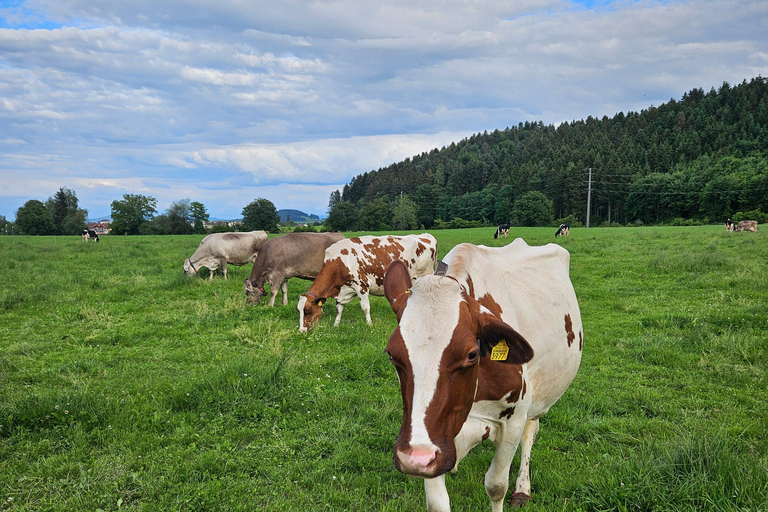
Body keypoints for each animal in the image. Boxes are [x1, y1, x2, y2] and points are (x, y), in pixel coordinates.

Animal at [296, 235, 436, 334]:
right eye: (299, 310)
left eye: (307, 310)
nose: (301, 331)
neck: (339, 261)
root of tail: (425, 236)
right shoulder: (342, 289)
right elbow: (339, 309)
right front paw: (336, 325)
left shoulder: (361, 286)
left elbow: (365, 308)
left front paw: (369, 325)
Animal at [380, 240, 584, 512]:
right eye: (392, 354)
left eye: (472, 354)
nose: (415, 458)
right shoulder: (436, 440)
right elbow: (437, 503)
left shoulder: (512, 422)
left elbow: (496, 486)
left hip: (539, 397)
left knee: (531, 431)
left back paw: (523, 488)